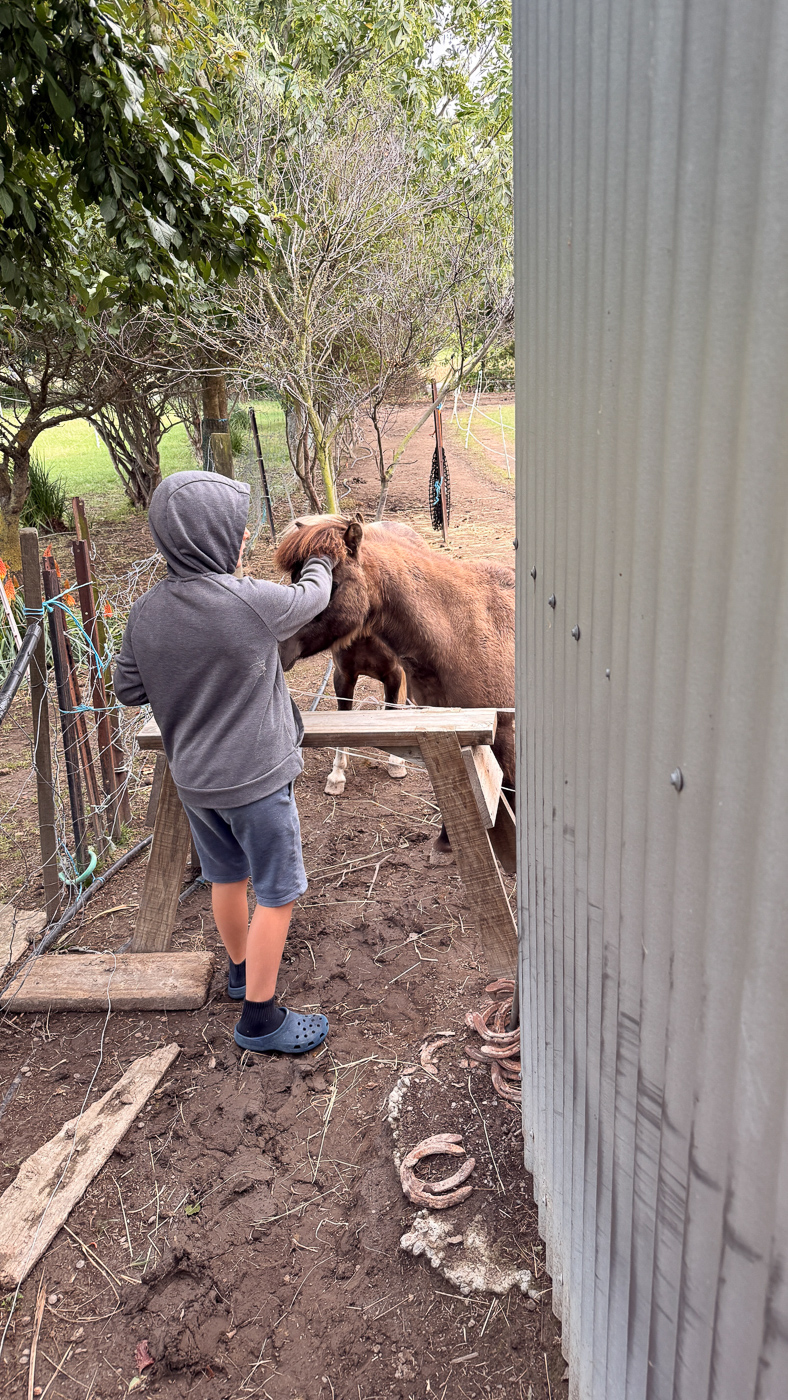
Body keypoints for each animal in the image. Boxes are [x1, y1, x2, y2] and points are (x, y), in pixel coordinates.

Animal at [276, 515, 515, 861]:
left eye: (331, 585)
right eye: (294, 577)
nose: (278, 647)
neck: (458, 633)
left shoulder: (505, 730)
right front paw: (446, 839)